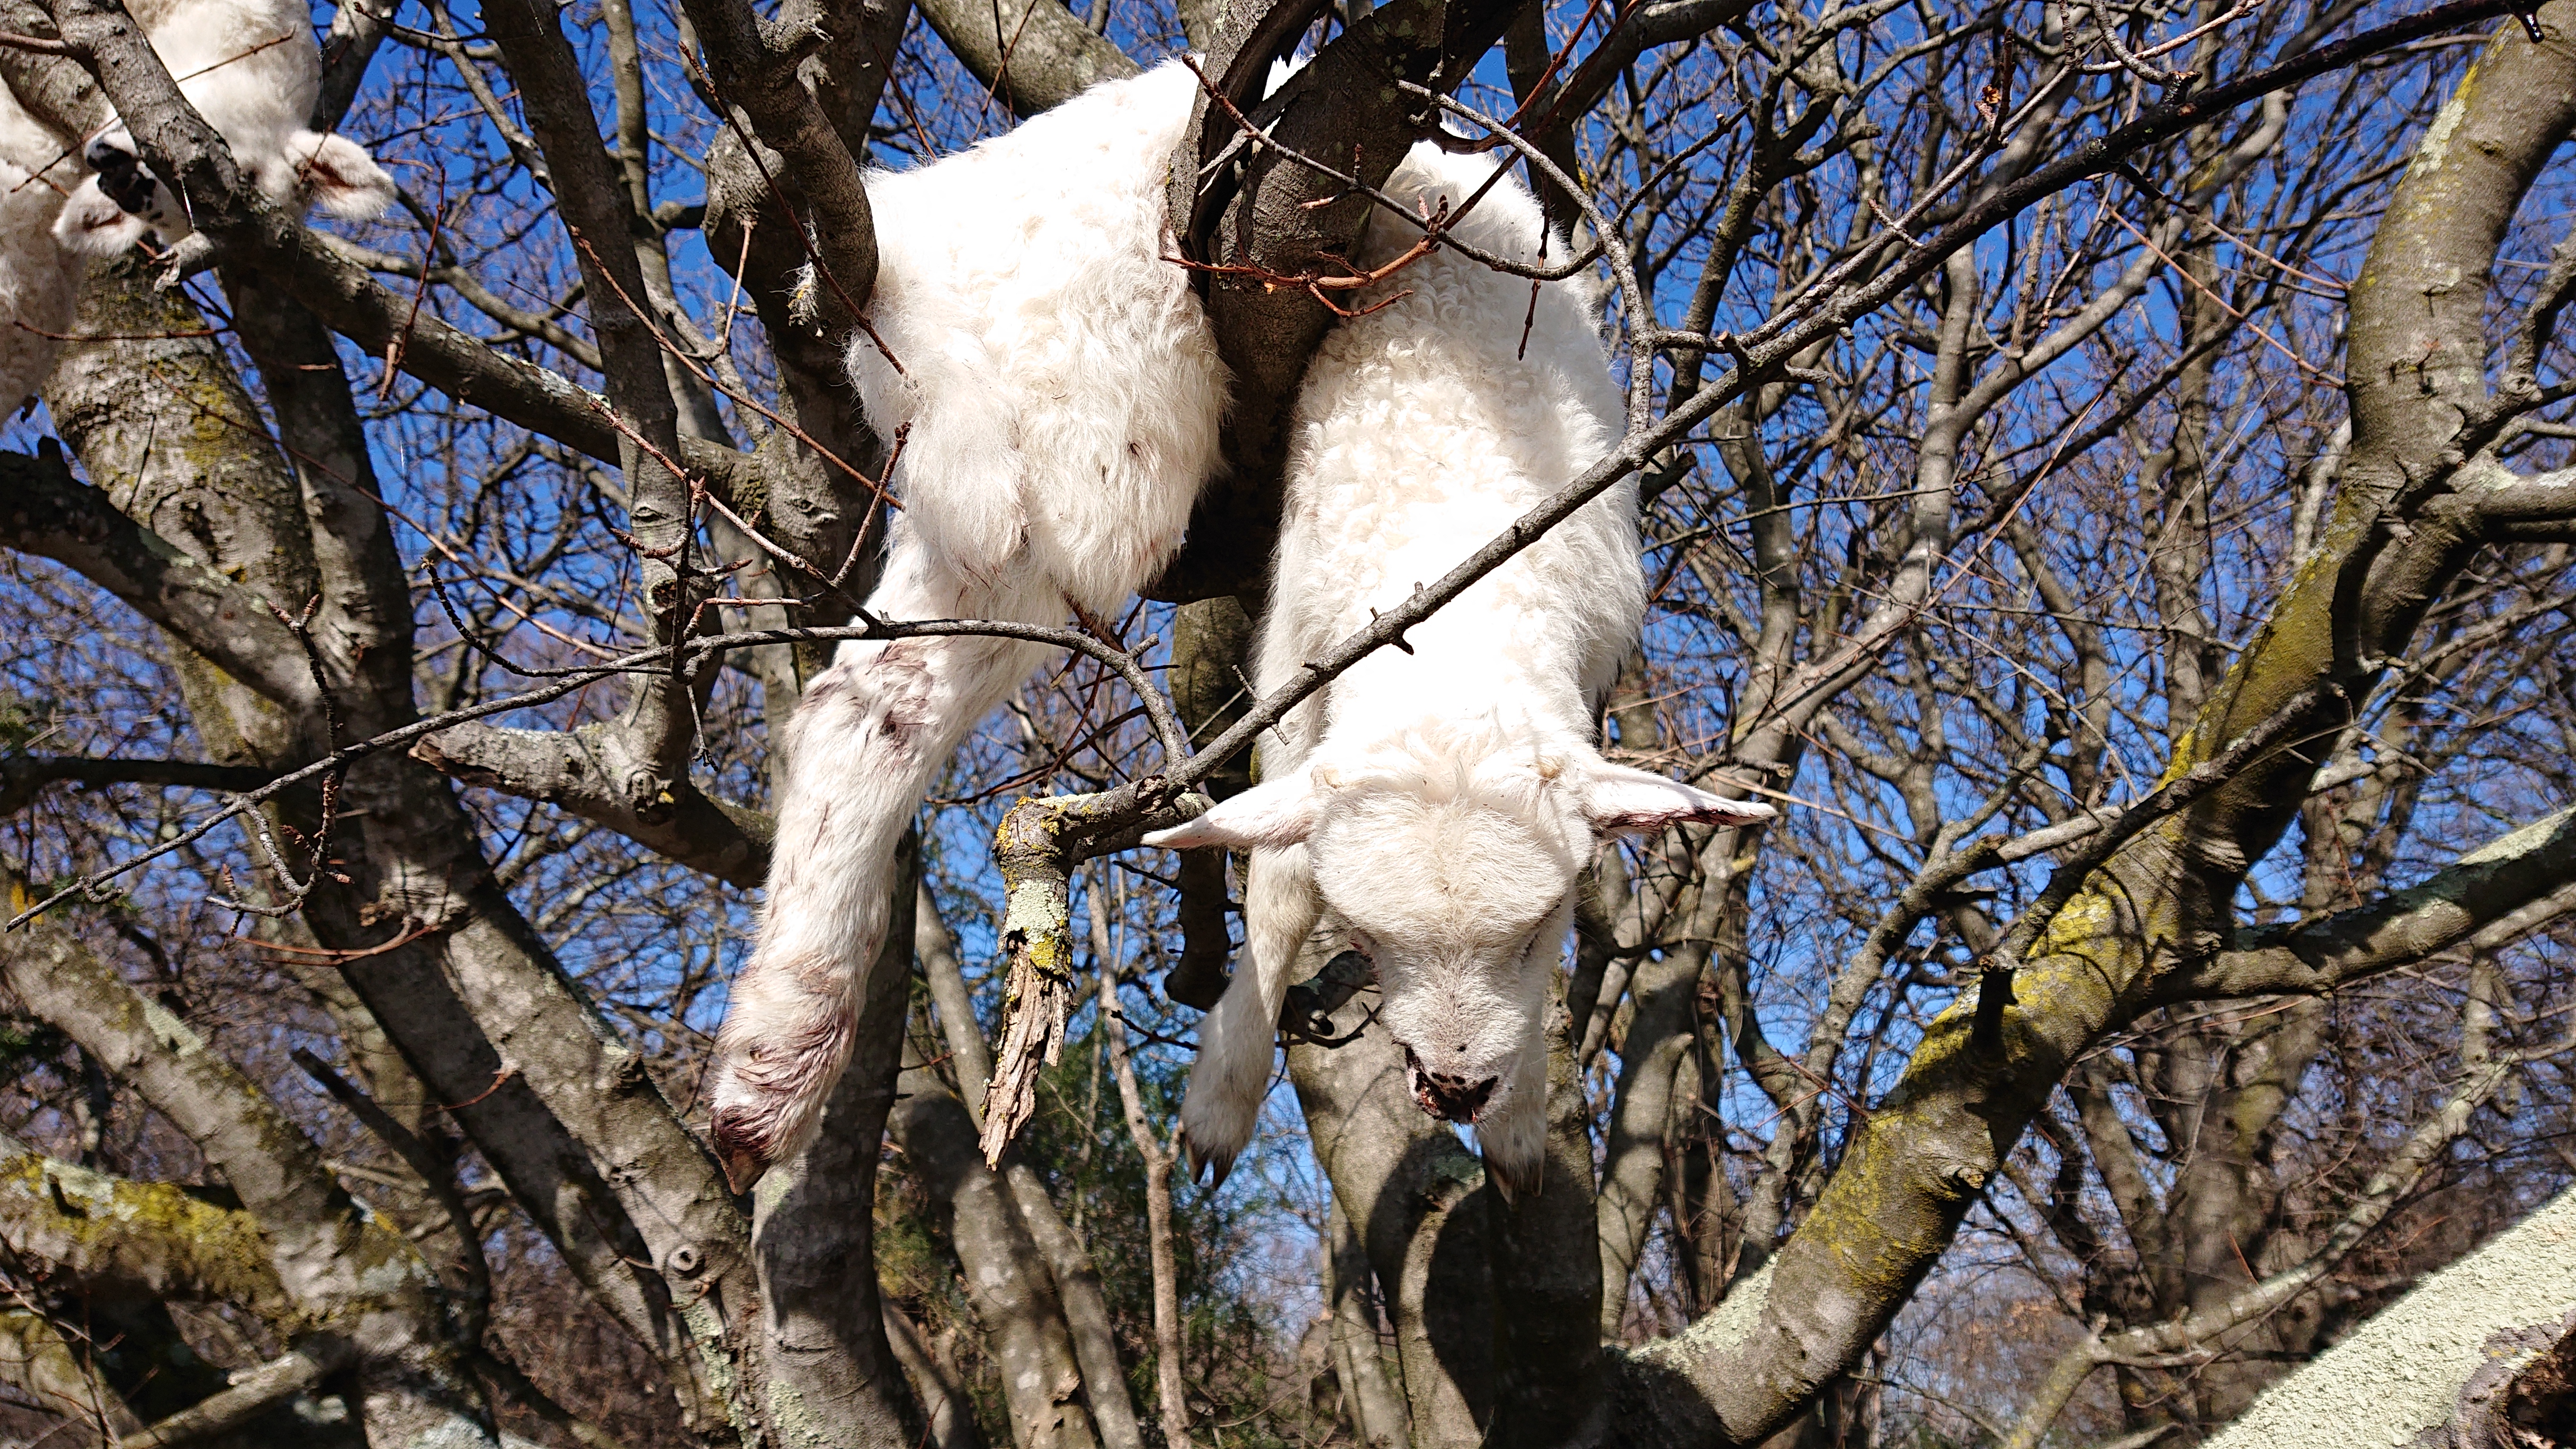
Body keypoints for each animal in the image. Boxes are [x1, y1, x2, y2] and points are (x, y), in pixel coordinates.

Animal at [1138, 141, 1782, 1191]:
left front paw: (1519, 1126)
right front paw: (1221, 1095)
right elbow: (1278, 891)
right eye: (1363, 938)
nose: (1456, 1090)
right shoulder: (1294, 668)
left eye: (1537, 931)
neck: (1452, 602)